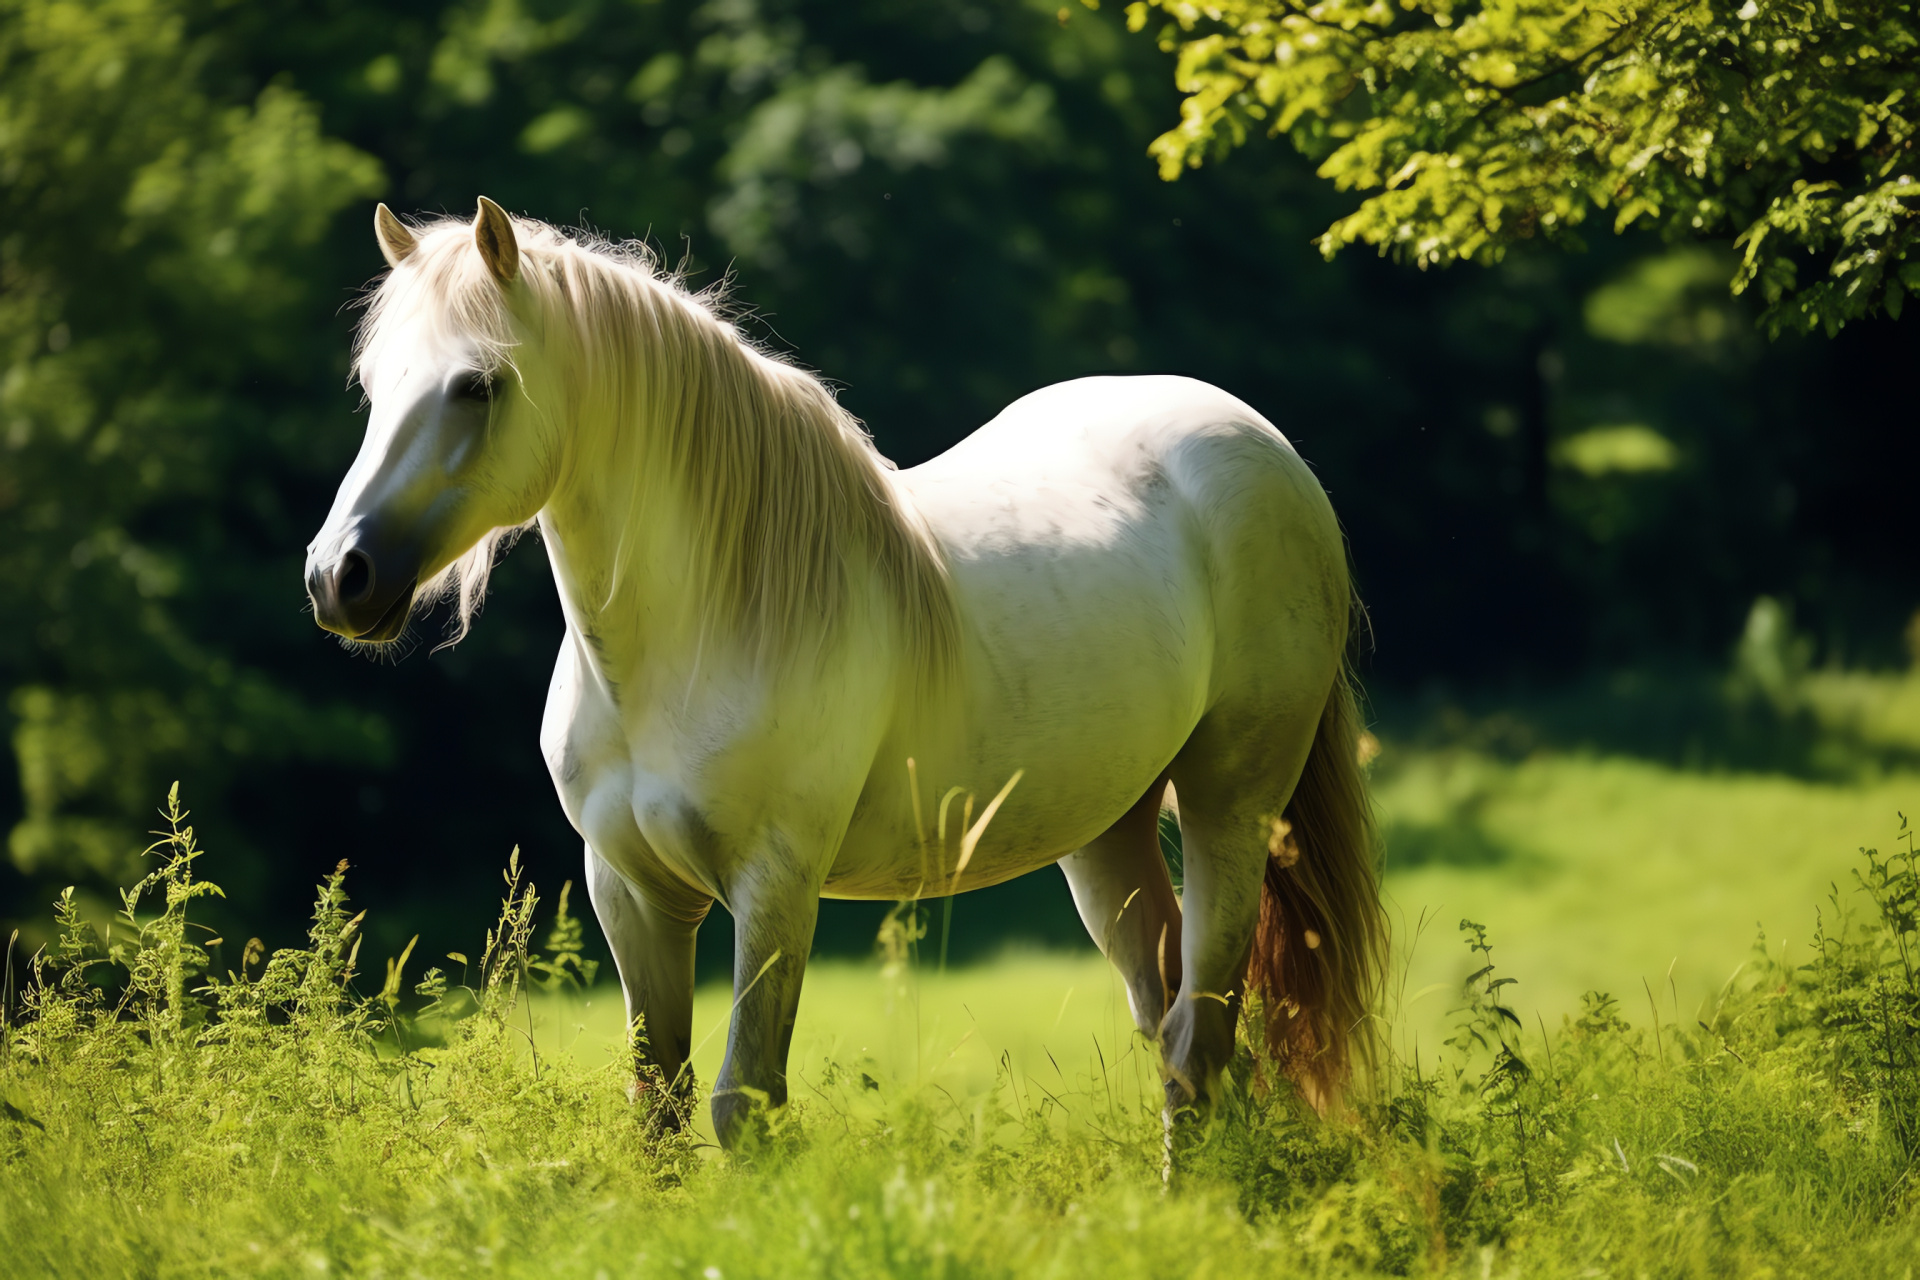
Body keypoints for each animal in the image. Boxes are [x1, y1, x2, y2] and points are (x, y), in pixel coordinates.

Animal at [303, 202, 1382, 1151]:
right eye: (370, 384)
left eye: (478, 385)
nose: (338, 577)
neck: (696, 637)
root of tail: (1262, 446)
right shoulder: (631, 891)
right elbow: (658, 1109)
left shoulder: (775, 885)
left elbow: (743, 1103)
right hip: (1105, 832)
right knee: (1174, 1033)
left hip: (1230, 805)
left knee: (1200, 1037)